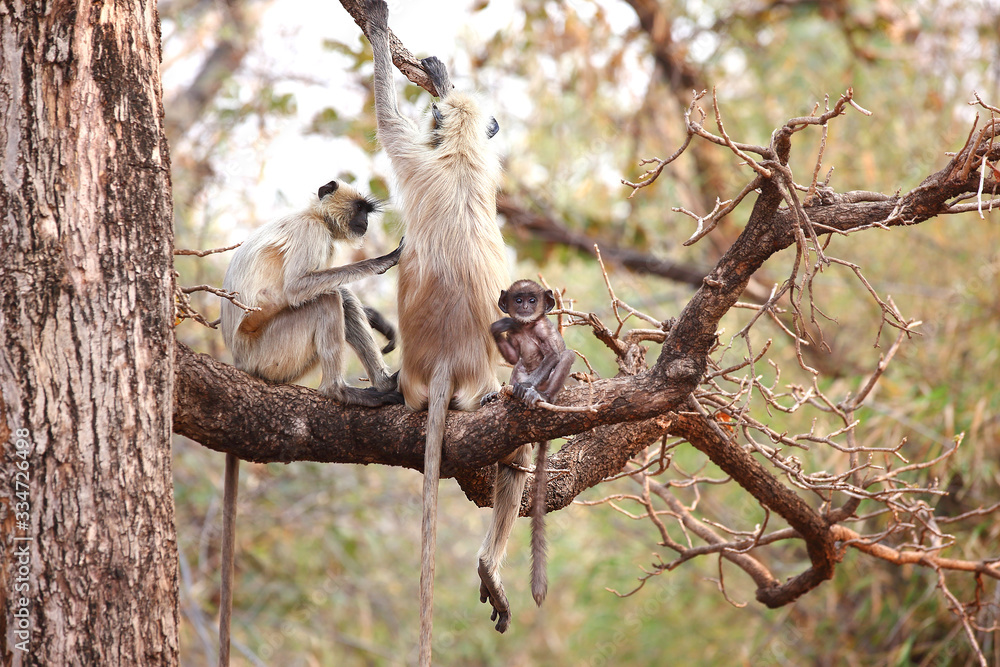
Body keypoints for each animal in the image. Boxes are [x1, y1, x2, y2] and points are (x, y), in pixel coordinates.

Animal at [216, 178, 403, 666]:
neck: (312, 215)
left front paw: (379, 319)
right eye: (361, 210)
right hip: (275, 353)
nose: (365, 224)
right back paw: (342, 392)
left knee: (341, 298)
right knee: (325, 298)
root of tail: (241, 363)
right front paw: (383, 261)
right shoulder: (312, 236)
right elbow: (301, 286)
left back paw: (387, 387)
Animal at [487, 279, 574, 610]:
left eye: (532, 300)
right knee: (520, 366)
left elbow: (553, 355)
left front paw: (529, 389)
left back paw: (540, 395)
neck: (527, 326)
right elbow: (513, 358)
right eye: (518, 299)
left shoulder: (545, 329)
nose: (524, 307)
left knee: (566, 356)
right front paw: (498, 327)